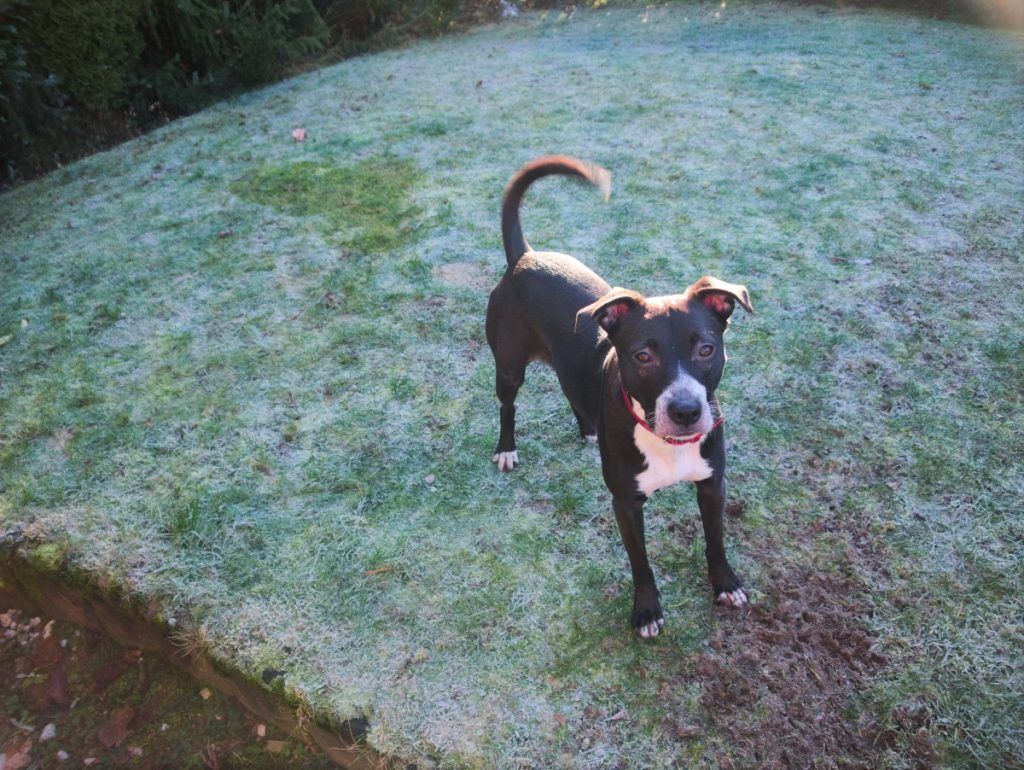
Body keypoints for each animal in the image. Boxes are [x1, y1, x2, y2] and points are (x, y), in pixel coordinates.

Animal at [483, 154, 749, 638]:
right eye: (642, 355)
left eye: (706, 348)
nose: (686, 411)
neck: (667, 443)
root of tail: (524, 257)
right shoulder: (626, 503)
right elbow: (640, 562)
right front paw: (646, 610)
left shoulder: (712, 483)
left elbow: (716, 540)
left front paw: (726, 583)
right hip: (508, 366)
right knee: (507, 405)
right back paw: (507, 448)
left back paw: (589, 429)